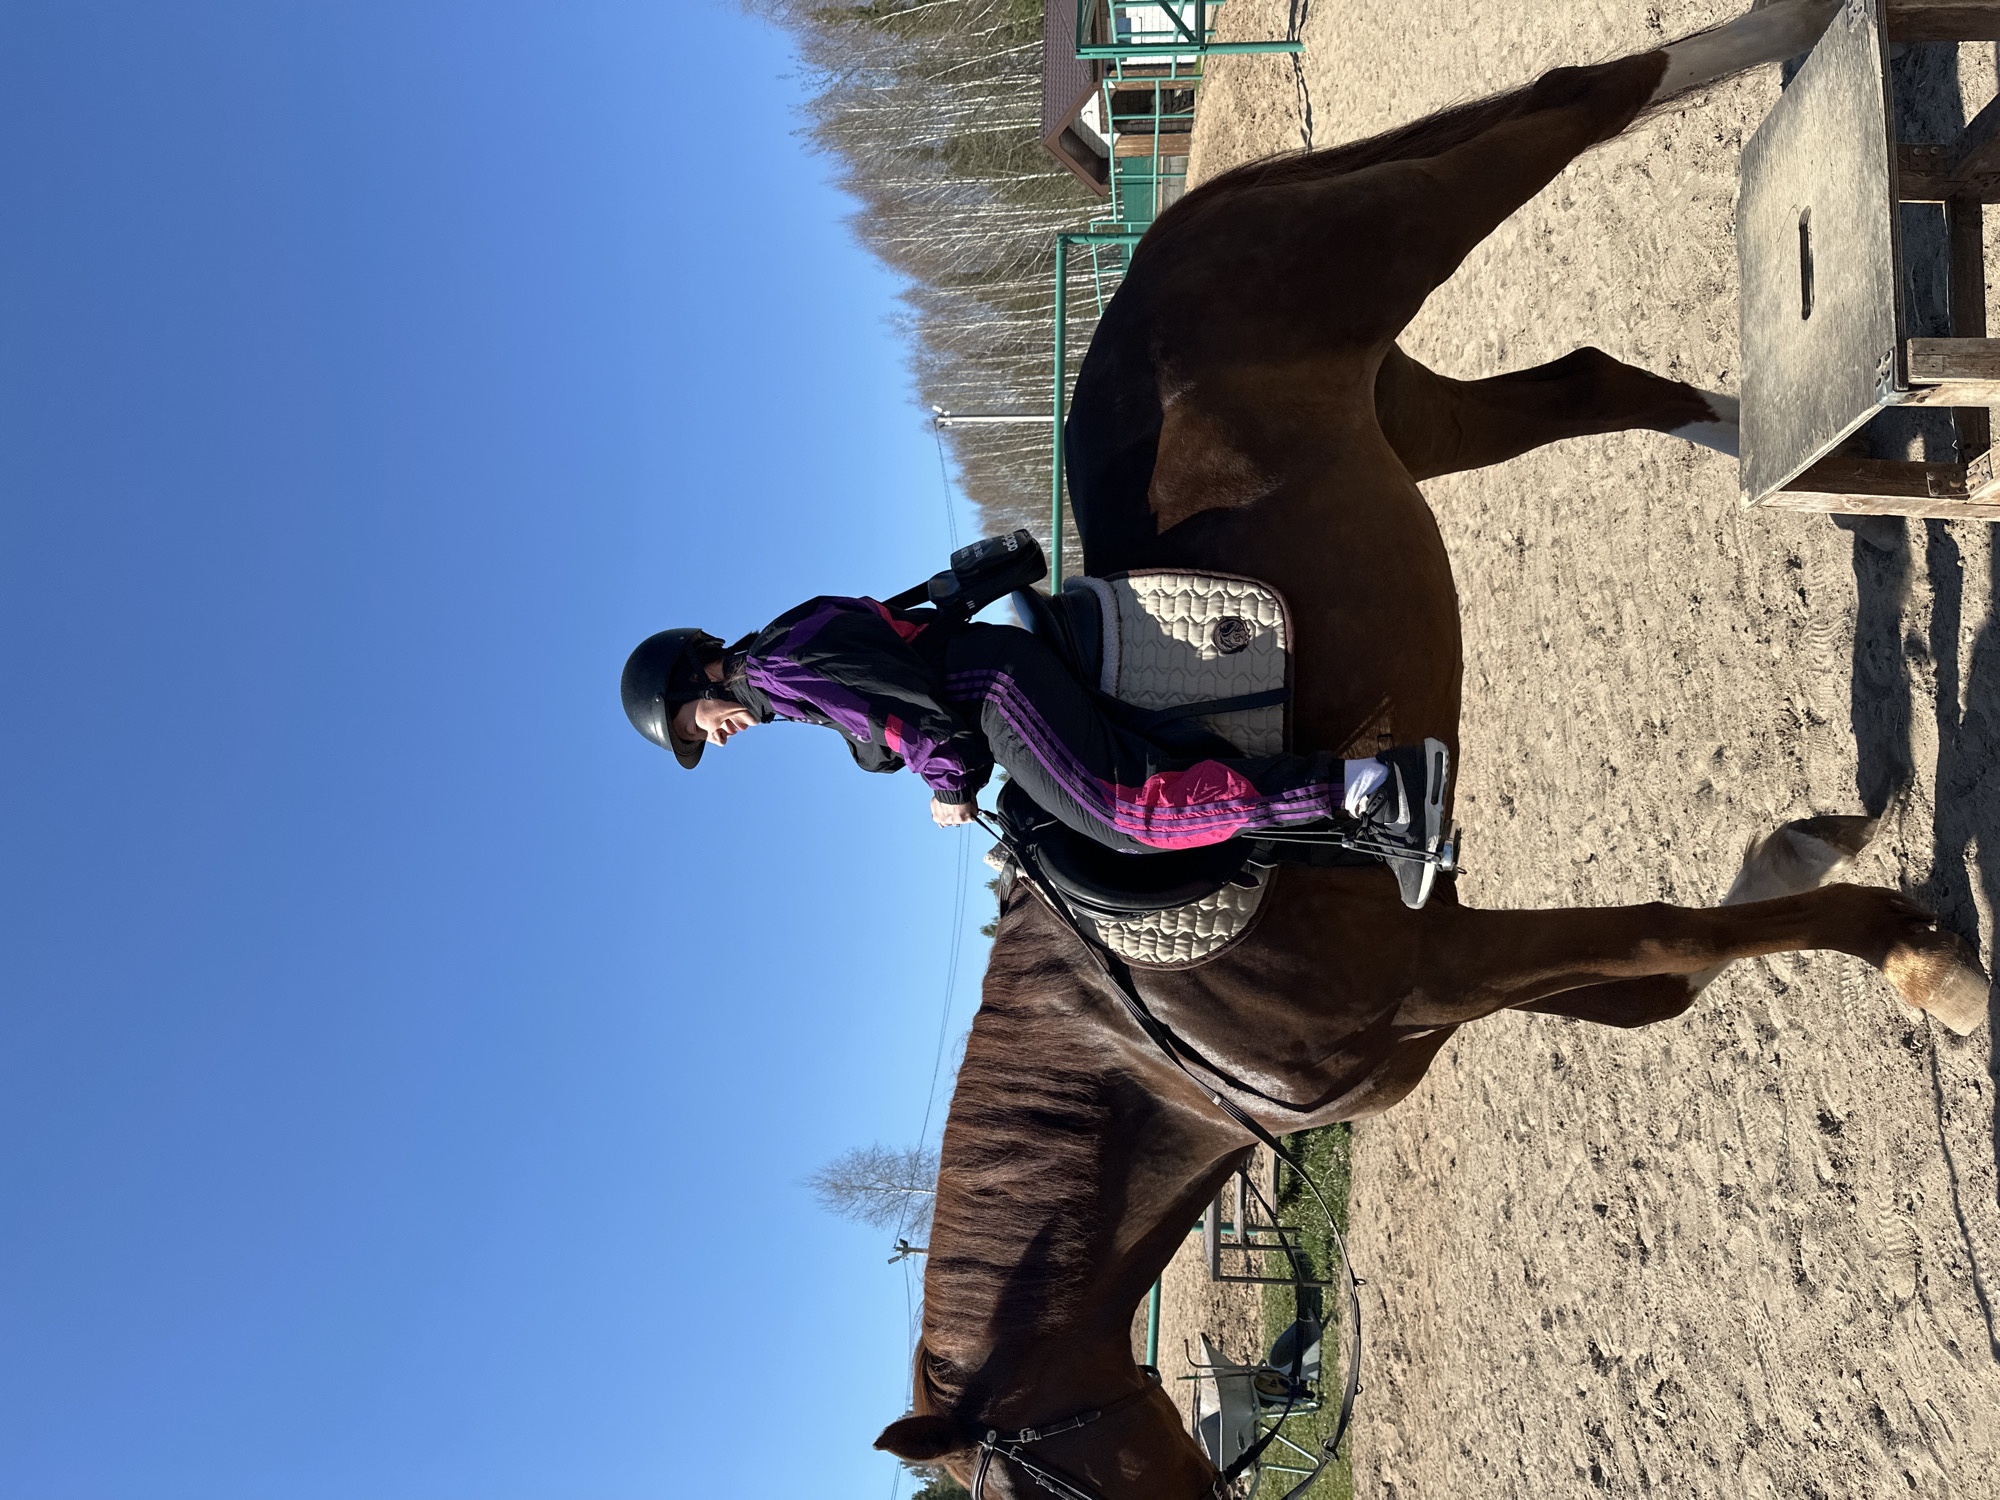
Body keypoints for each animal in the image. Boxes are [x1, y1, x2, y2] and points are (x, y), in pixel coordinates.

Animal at [874, 5, 1990, 1495]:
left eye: (1057, 1488)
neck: (1154, 1027)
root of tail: (1169, 240)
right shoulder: (1445, 988)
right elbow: (1660, 987)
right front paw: (1812, 846)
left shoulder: (1445, 958)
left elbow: (1667, 940)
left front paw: (1922, 961)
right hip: (1408, 403)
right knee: (1585, 371)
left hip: (1399, 235)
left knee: (1581, 102)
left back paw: (1799, 36)